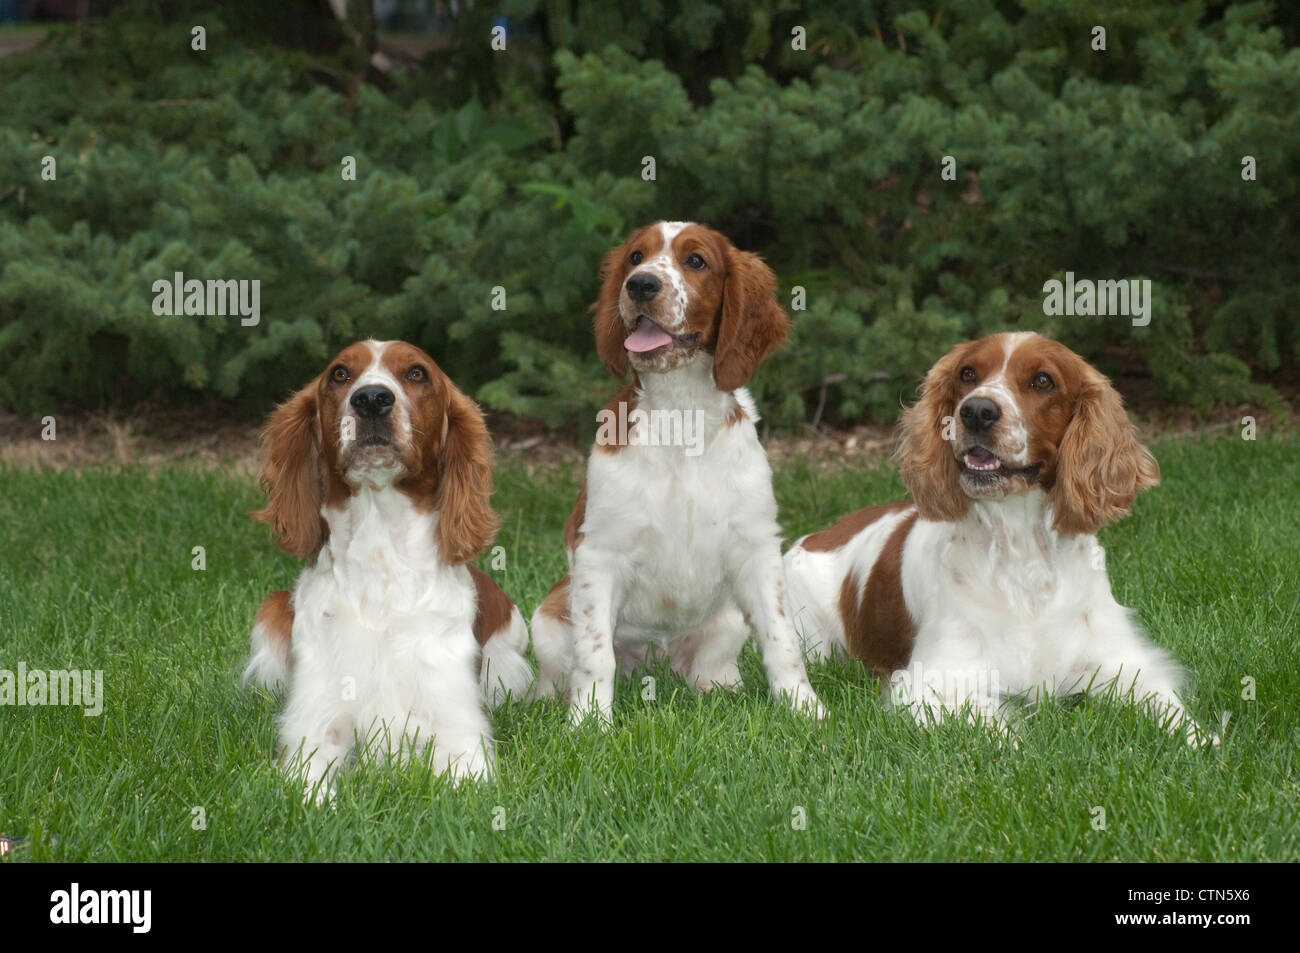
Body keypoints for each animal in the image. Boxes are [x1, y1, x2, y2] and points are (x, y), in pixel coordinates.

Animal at [527, 217, 821, 722]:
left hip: (726, 620)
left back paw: (720, 690)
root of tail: (656, 666)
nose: (640, 285)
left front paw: (805, 710)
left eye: (696, 261)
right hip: (548, 615)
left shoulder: (757, 549)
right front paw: (589, 723)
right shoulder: (599, 554)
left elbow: (781, 639)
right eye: (634, 258)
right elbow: (594, 653)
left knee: (711, 664)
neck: (680, 416)